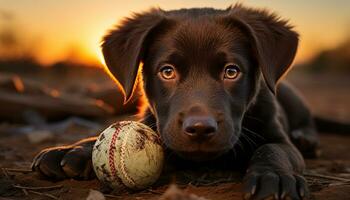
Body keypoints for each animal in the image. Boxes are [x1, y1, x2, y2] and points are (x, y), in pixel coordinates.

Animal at [32, 3, 326, 199]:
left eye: (231, 71)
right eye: (167, 71)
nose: (200, 129)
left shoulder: (276, 134)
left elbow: (273, 149)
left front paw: (275, 177)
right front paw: (73, 149)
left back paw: (305, 137)